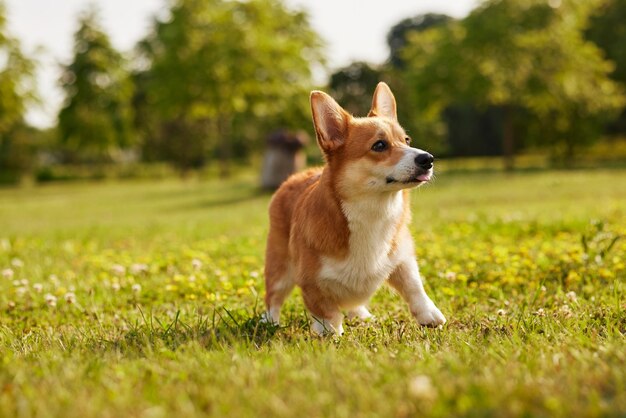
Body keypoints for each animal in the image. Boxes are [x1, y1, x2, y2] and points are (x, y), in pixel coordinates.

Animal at [262, 83, 444, 334]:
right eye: (379, 145)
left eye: (407, 140)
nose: (428, 159)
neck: (373, 211)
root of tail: (295, 176)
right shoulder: (310, 281)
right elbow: (324, 310)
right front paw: (331, 333)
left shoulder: (402, 258)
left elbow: (414, 286)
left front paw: (429, 315)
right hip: (279, 267)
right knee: (273, 297)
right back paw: (269, 321)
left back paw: (361, 315)